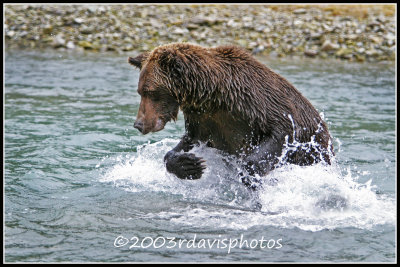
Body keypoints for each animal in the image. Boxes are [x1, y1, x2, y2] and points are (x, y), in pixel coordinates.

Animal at [128, 42, 334, 188]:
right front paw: (189, 164)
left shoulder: (258, 104)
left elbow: (283, 131)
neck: (213, 94)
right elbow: (188, 141)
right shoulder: (203, 119)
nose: (139, 124)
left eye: (150, 92)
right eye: (140, 91)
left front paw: (251, 173)